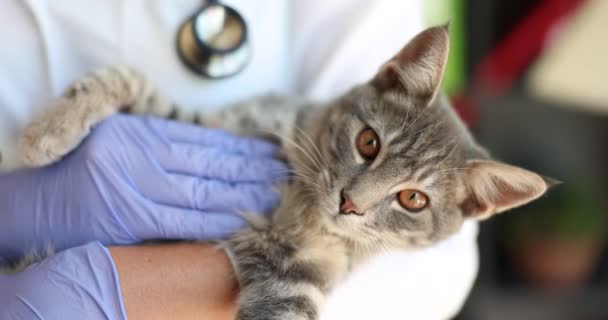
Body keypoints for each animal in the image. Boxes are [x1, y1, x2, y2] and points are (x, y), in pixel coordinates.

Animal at [19, 26, 552, 318]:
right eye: (369, 142)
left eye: (413, 200)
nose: (350, 203)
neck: (303, 209)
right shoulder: (212, 129)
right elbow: (122, 78)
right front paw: (44, 135)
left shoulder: (296, 281)